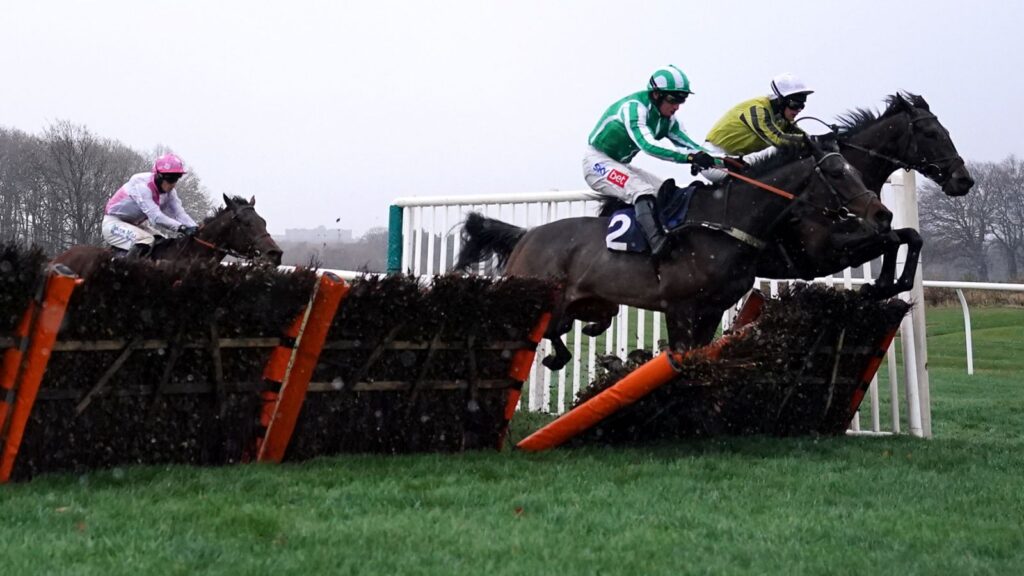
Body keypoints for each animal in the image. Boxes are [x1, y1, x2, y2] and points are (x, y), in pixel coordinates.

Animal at [454, 137, 888, 366]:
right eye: (836, 173)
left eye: (854, 168)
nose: (881, 213)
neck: (725, 223)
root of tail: (526, 235)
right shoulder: (680, 306)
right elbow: (681, 353)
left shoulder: (712, 309)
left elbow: (700, 353)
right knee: (545, 330)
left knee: (565, 327)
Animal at [757, 92, 970, 295]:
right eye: (930, 133)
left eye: (946, 132)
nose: (965, 180)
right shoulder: (820, 253)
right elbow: (892, 240)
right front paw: (878, 287)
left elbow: (912, 236)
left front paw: (892, 284)